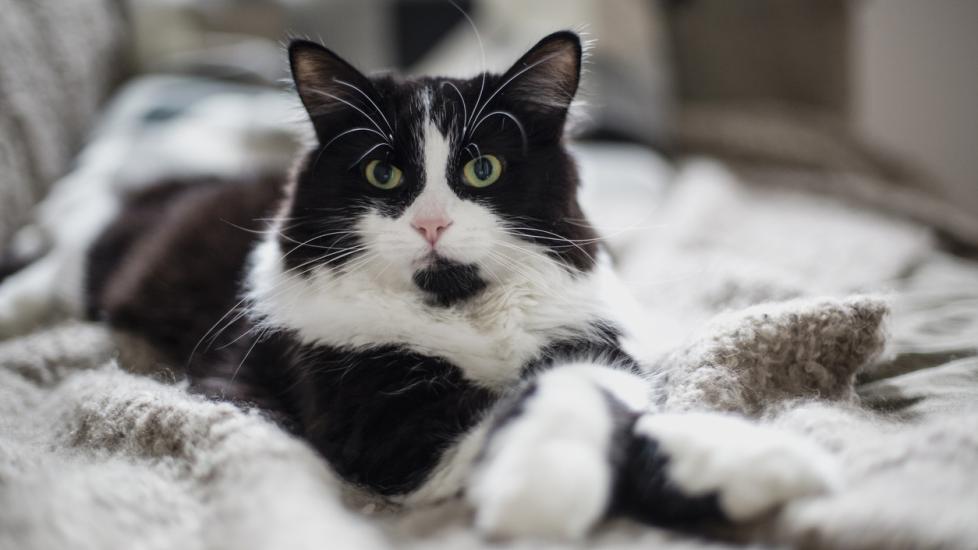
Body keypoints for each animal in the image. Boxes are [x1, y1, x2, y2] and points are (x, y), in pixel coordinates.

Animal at [1, 32, 840, 540]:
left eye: (483, 169)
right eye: (383, 173)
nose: (432, 223)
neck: (461, 303)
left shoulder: (594, 339)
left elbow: (600, 393)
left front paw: (739, 459)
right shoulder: (386, 430)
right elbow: (531, 404)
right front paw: (545, 487)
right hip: (102, 259)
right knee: (53, 267)